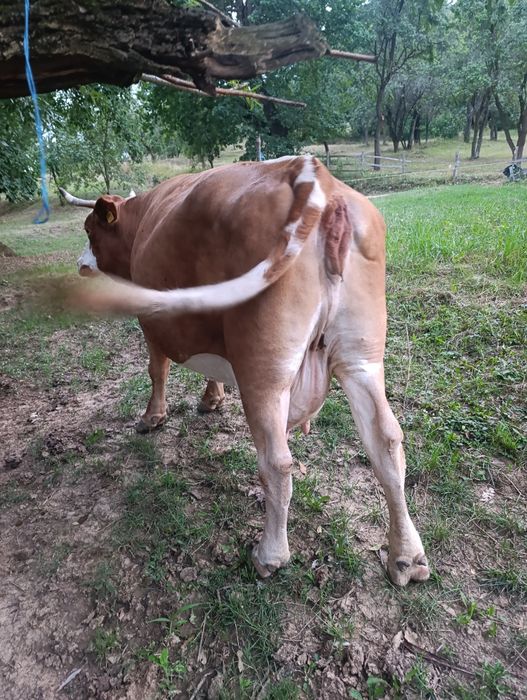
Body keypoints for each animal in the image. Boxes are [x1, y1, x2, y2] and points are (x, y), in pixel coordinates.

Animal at [60, 155, 430, 586]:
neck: (142, 220)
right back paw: (406, 556)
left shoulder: (151, 321)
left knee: (278, 463)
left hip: (264, 369)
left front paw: (152, 418)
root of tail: (318, 177)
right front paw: (212, 398)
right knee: (387, 443)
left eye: (89, 230)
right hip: (362, 358)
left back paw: (270, 554)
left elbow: (157, 370)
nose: (80, 265)